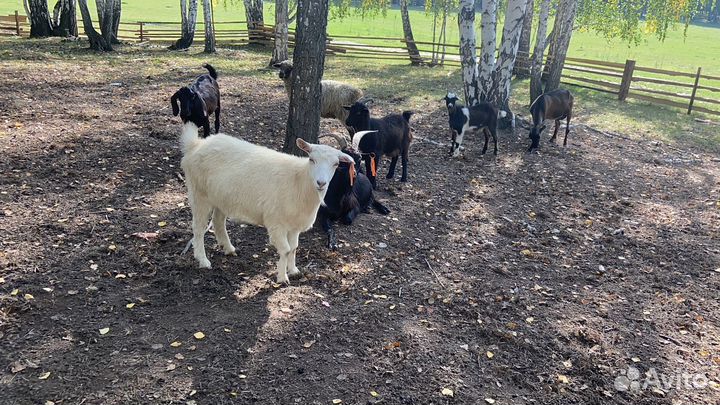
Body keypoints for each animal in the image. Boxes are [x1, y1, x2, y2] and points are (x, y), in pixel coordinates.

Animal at [179, 122, 354, 284]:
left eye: (336, 164)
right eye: (311, 159)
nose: (321, 183)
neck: (298, 180)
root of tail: (195, 145)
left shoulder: (295, 225)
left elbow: (294, 248)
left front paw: (294, 271)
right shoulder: (276, 222)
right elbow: (285, 250)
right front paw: (282, 278)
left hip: (221, 197)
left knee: (218, 221)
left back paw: (228, 248)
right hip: (199, 194)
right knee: (198, 228)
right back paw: (203, 260)